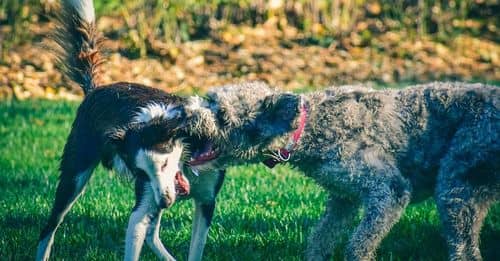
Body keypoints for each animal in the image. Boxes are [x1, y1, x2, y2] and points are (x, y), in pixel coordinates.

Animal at [35, 1, 193, 258]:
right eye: (142, 173)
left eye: (164, 165)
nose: (165, 203)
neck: (147, 123)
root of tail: (94, 90)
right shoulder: (144, 199)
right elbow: (137, 235)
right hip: (73, 177)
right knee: (49, 226)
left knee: (152, 234)